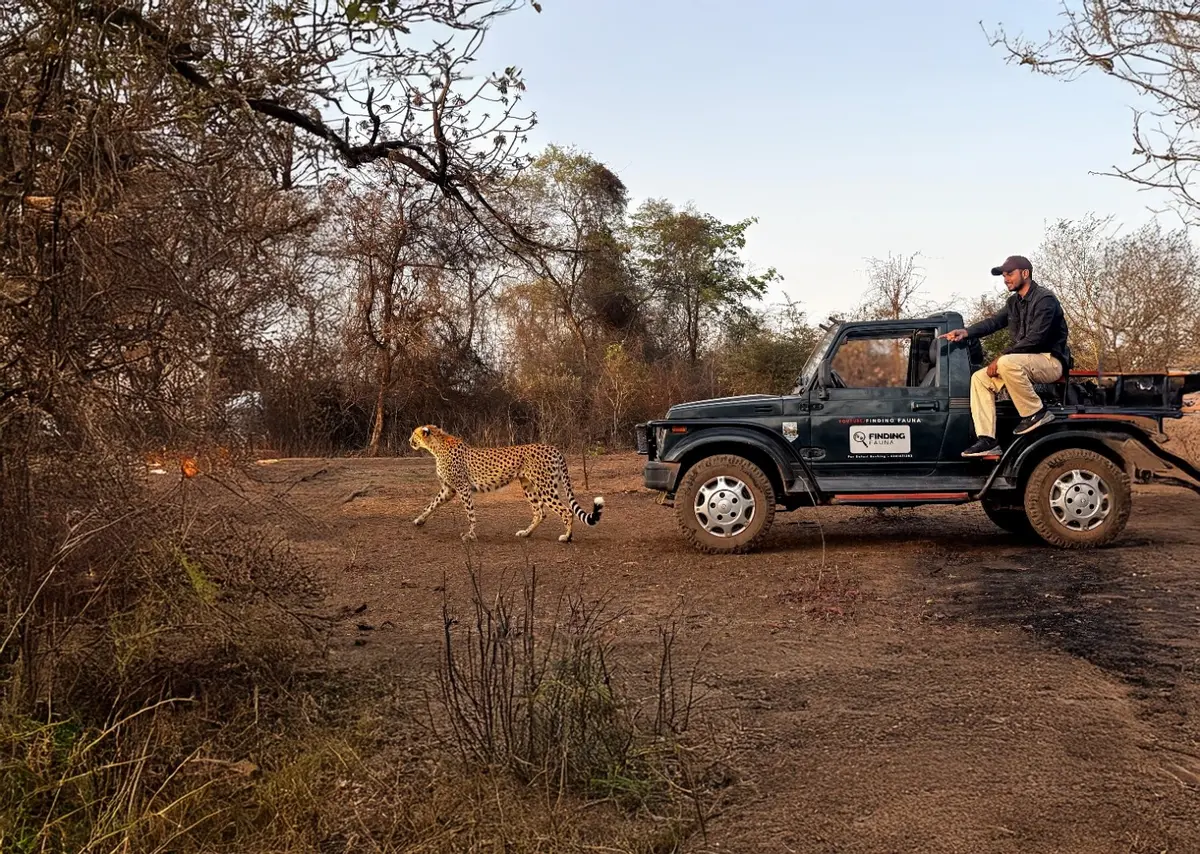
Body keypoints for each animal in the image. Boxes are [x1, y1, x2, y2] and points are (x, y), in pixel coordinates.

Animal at [408, 424, 604, 543]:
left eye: (414, 434)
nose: (409, 441)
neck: (436, 446)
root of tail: (553, 448)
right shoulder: (448, 489)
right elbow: (432, 504)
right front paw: (419, 520)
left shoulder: (462, 488)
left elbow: (470, 514)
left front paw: (470, 535)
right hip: (528, 486)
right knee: (540, 512)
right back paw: (526, 533)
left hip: (545, 487)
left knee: (566, 510)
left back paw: (567, 537)